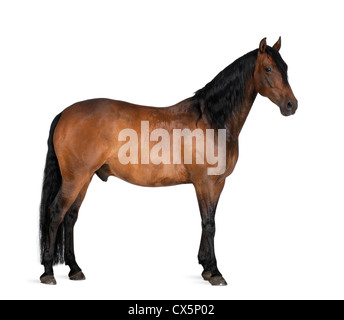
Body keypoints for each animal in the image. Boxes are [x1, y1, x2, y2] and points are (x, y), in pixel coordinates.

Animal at [39, 37, 298, 284]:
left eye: (285, 67)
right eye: (268, 68)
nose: (291, 105)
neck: (212, 120)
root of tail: (65, 113)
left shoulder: (217, 183)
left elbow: (209, 221)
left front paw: (205, 267)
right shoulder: (205, 183)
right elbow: (209, 223)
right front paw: (215, 272)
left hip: (86, 177)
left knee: (70, 217)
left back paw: (75, 269)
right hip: (75, 178)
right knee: (56, 213)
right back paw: (48, 272)